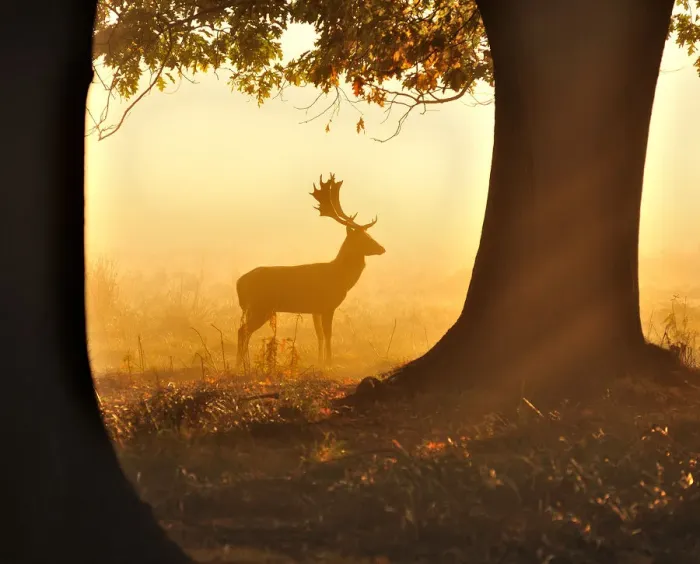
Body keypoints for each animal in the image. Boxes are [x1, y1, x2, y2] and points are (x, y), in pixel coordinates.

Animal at [235, 173, 385, 370]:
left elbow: (319, 335)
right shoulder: (328, 305)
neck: (340, 277)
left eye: (369, 235)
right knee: (242, 331)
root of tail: (239, 283)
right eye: (363, 238)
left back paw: (243, 365)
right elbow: (328, 334)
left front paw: (321, 362)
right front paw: (329, 362)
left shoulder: (316, 309)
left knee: (243, 331)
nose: (382, 248)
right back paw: (242, 366)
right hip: (261, 306)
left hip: (255, 308)